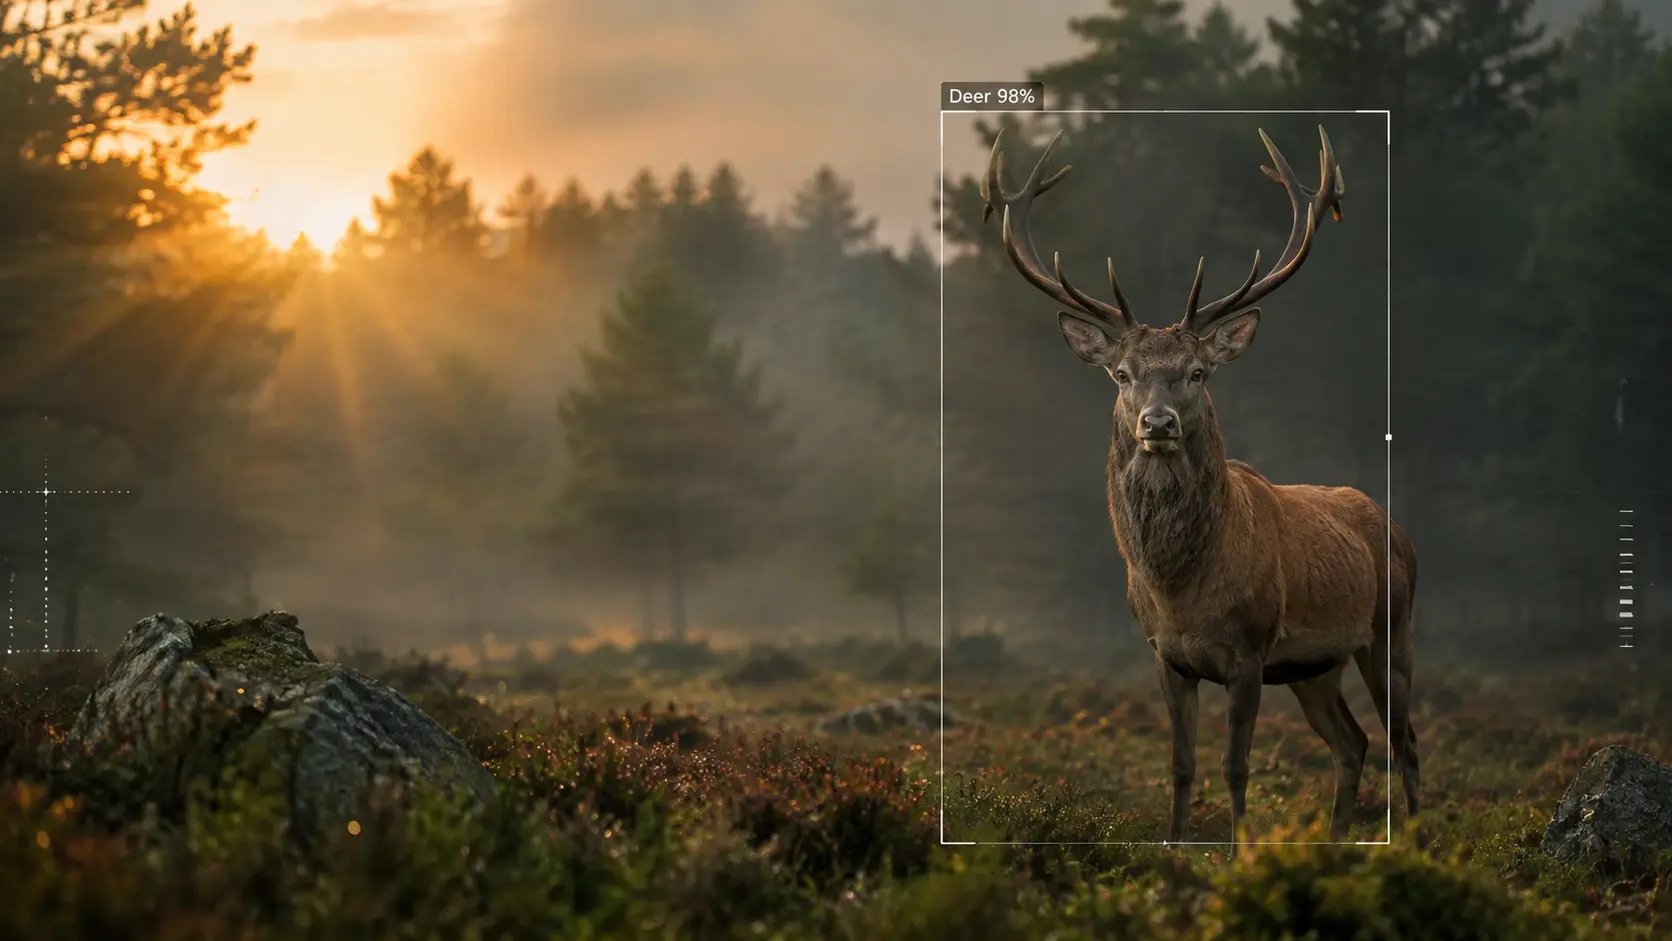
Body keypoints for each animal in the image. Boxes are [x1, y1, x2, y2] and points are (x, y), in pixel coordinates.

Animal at [980, 125, 1418, 855]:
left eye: (1197, 372)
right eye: (1122, 373)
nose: (1158, 423)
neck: (1181, 590)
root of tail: (1395, 525)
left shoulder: (1249, 650)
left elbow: (1235, 763)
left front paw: (1242, 853)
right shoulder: (1168, 658)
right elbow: (1181, 763)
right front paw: (1176, 849)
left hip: (1392, 628)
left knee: (1404, 740)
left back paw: (1420, 835)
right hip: (1315, 666)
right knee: (1353, 743)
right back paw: (1333, 843)